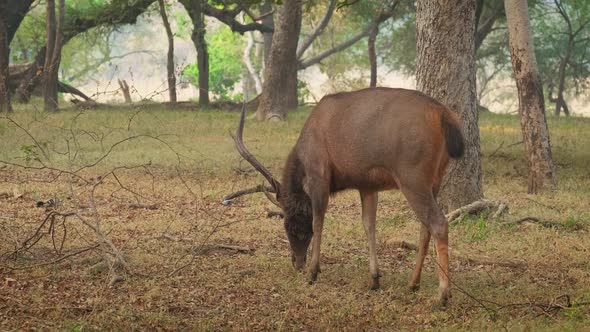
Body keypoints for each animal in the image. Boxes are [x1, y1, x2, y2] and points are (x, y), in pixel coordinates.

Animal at [234, 87, 464, 306]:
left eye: (287, 225)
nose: (297, 263)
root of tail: (444, 115)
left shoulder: (320, 175)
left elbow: (318, 222)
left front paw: (313, 272)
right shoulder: (367, 185)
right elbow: (369, 225)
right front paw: (374, 278)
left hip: (412, 175)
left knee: (438, 223)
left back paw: (442, 295)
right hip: (435, 179)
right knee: (425, 229)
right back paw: (413, 283)